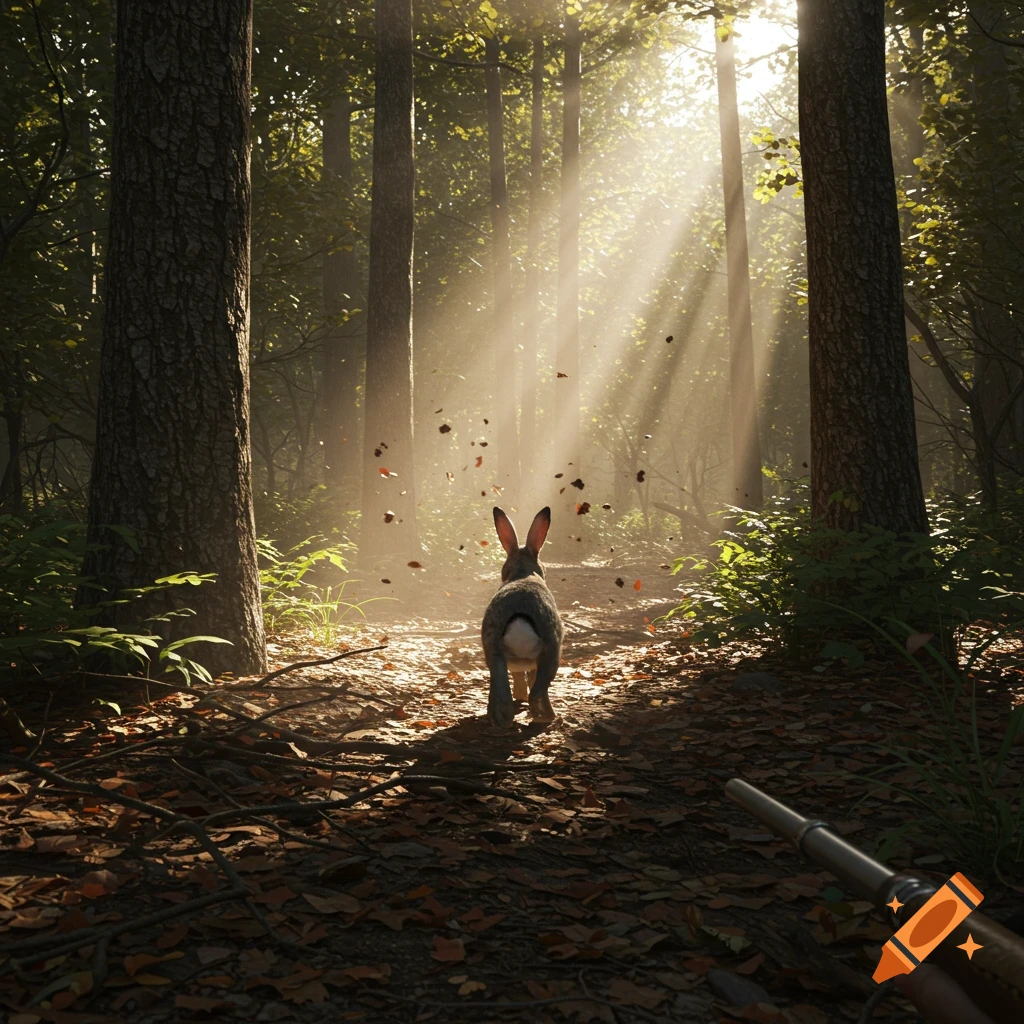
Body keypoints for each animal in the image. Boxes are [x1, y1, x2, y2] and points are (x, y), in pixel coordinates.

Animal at [481, 506, 564, 728]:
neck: (522, 571)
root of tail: (519, 620)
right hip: (551, 650)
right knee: (538, 691)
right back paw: (546, 718)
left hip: (494, 652)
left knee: (502, 694)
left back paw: (499, 721)